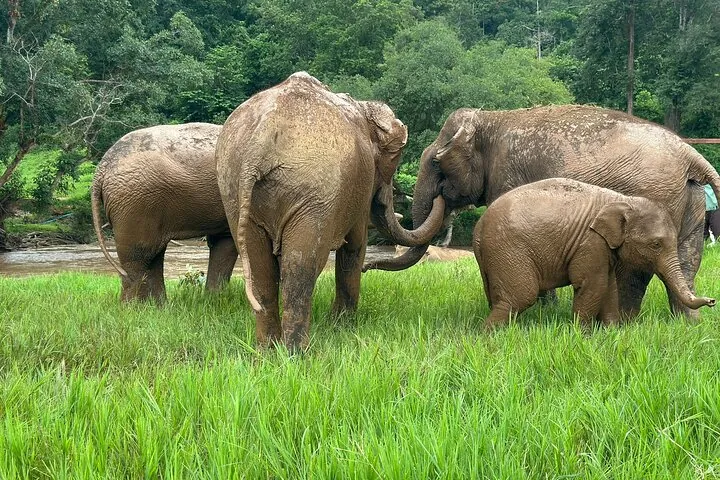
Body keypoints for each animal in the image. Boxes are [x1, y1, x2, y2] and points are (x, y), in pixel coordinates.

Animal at [91, 123, 237, 303]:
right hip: (136, 201)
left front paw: (214, 301)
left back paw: (157, 306)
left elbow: (223, 240)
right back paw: (133, 307)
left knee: (154, 254)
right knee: (141, 254)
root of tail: (103, 166)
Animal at [215, 72, 444, 351]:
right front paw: (341, 324)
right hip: (314, 190)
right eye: (394, 160)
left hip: (234, 189)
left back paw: (268, 350)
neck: (362, 105)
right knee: (302, 266)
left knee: (261, 269)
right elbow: (355, 246)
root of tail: (263, 137)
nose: (442, 192)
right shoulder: (360, 187)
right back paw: (296, 352)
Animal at [474, 178, 716, 328]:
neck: (624, 200)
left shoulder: (603, 247)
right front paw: (581, 335)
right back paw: (488, 337)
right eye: (656, 244)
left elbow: (609, 286)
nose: (713, 301)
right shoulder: (590, 243)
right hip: (508, 249)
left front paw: (612, 332)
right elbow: (593, 285)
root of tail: (479, 227)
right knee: (521, 296)